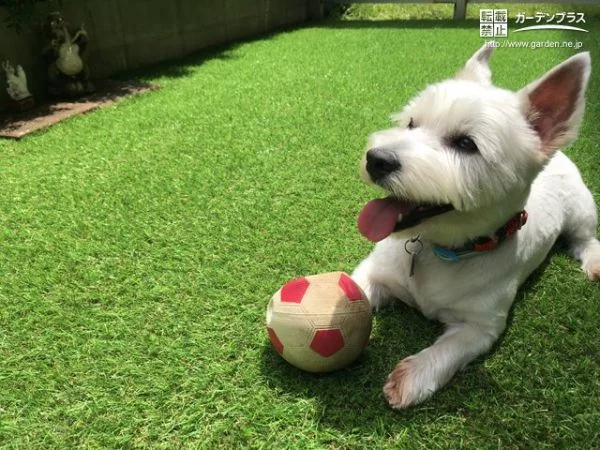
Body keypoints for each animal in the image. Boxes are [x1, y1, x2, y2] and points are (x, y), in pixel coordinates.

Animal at [352, 44, 600, 408]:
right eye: (412, 123)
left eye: (467, 144)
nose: (376, 159)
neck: (439, 249)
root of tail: (559, 155)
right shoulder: (376, 271)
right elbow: (352, 289)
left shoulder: (481, 327)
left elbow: (448, 350)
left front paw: (412, 377)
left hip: (582, 207)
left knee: (586, 238)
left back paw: (594, 261)